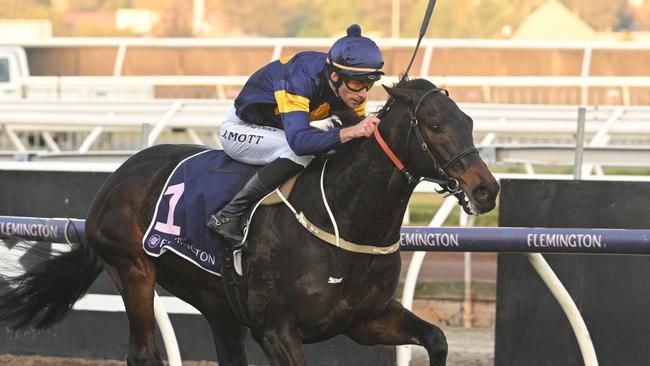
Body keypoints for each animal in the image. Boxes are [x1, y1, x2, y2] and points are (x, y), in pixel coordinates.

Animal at [0, 78, 496, 366]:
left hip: (219, 305)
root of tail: (118, 176)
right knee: (143, 354)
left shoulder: (365, 318)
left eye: (469, 121)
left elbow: (435, 338)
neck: (343, 218)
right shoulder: (277, 330)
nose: (487, 189)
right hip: (133, 272)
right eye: (434, 125)